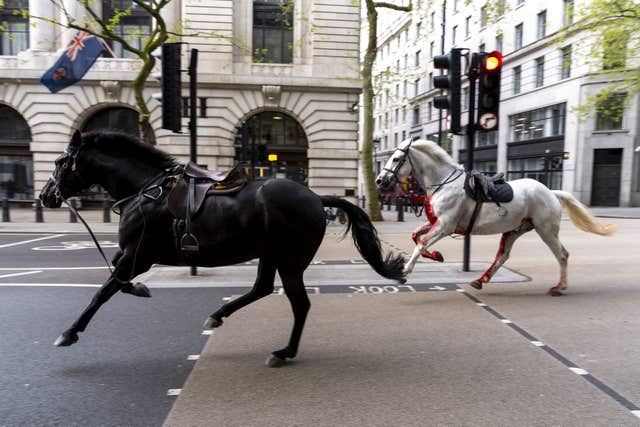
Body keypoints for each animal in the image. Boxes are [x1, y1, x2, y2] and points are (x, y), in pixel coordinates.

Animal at [38, 131, 404, 368]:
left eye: (59, 161)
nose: (45, 197)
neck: (145, 190)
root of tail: (315, 197)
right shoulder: (131, 256)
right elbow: (117, 280)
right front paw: (141, 289)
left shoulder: (138, 256)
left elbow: (104, 290)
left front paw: (70, 332)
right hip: (271, 255)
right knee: (262, 288)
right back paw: (219, 315)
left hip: (289, 260)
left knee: (299, 303)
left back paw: (284, 352)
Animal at [376, 139, 616, 296]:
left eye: (396, 158)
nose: (379, 180)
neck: (443, 183)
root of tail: (551, 192)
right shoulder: (437, 223)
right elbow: (416, 236)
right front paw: (436, 255)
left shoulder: (445, 225)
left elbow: (421, 243)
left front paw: (404, 271)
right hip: (514, 230)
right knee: (503, 256)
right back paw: (480, 280)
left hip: (545, 230)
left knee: (562, 255)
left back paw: (560, 287)